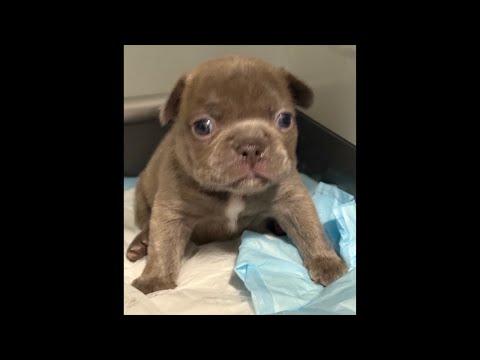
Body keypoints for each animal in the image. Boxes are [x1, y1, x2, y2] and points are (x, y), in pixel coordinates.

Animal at [125, 54, 346, 294]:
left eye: (285, 119)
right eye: (203, 126)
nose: (251, 145)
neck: (233, 192)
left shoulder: (291, 196)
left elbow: (309, 228)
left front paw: (327, 261)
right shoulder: (172, 209)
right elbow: (163, 244)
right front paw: (155, 281)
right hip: (142, 200)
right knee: (149, 224)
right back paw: (141, 243)